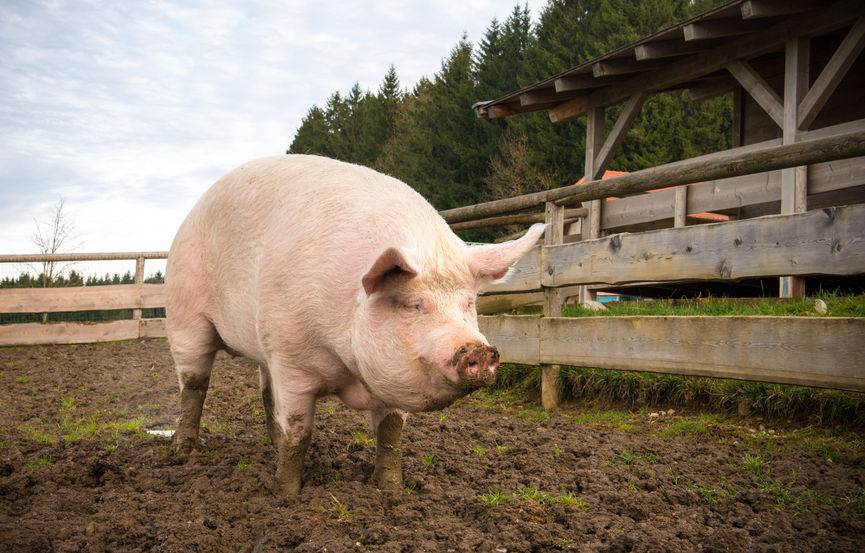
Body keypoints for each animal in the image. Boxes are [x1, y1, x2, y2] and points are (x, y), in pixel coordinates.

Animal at [164, 153, 540, 494]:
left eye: (469, 303)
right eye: (411, 305)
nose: (478, 349)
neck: (347, 366)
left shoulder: (391, 380)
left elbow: (390, 433)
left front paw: (390, 490)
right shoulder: (291, 357)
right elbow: (298, 432)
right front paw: (284, 494)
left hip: (261, 343)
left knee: (266, 391)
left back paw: (267, 445)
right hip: (184, 313)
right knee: (194, 384)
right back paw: (182, 455)